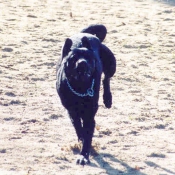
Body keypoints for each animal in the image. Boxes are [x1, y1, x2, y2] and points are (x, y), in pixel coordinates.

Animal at [56, 24, 116, 165]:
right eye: (73, 58)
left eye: (88, 57)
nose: (82, 62)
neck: (80, 87)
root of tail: (86, 34)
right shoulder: (72, 112)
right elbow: (79, 128)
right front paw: (81, 141)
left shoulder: (89, 115)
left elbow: (88, 135)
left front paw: (84, 155)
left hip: (111, 63)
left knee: (106, 78)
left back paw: (108, 99)